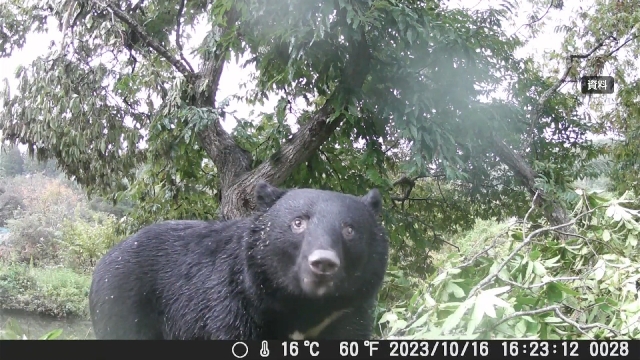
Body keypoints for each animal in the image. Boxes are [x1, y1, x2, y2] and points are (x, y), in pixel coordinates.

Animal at [89, 181, 390, 338]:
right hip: (122, 307)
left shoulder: (347, 314)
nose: (323, 263)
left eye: (349, 230)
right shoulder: (232, 305)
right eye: (298, 223)